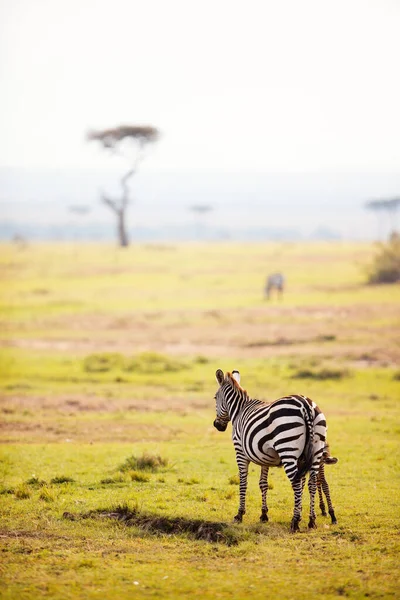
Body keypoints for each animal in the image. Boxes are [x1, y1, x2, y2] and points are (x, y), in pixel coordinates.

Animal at [214, 368, 330, 532]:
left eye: (215, 398)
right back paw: (311, 521)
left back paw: (295, 522)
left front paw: (239, 514)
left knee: (296, 483)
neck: (239, 410)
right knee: (312, 483)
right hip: (316, 450)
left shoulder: (240, 451)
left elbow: (243, 481)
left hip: (287, 448)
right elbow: (263, 484)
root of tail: (305, 405)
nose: (217, 425)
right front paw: (264, 515)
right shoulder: (264, 457)